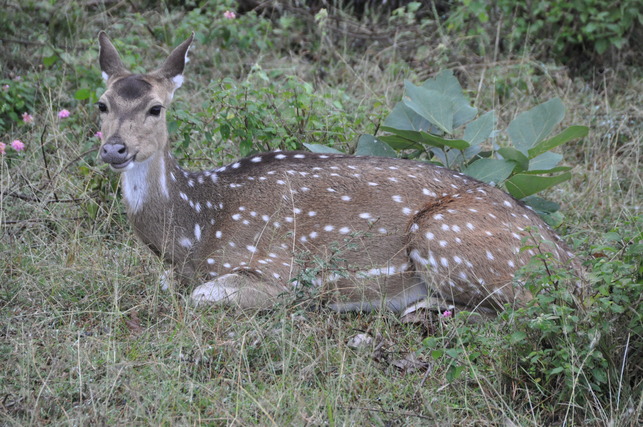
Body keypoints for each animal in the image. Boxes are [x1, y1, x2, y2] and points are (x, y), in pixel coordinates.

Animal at [97, 32, 580, 317]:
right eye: (102, 104)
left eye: (156, 108)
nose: (114, 148)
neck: (197, 228)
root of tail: (571, 264)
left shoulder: (279, 273)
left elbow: (203, 296)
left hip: (445, 239)